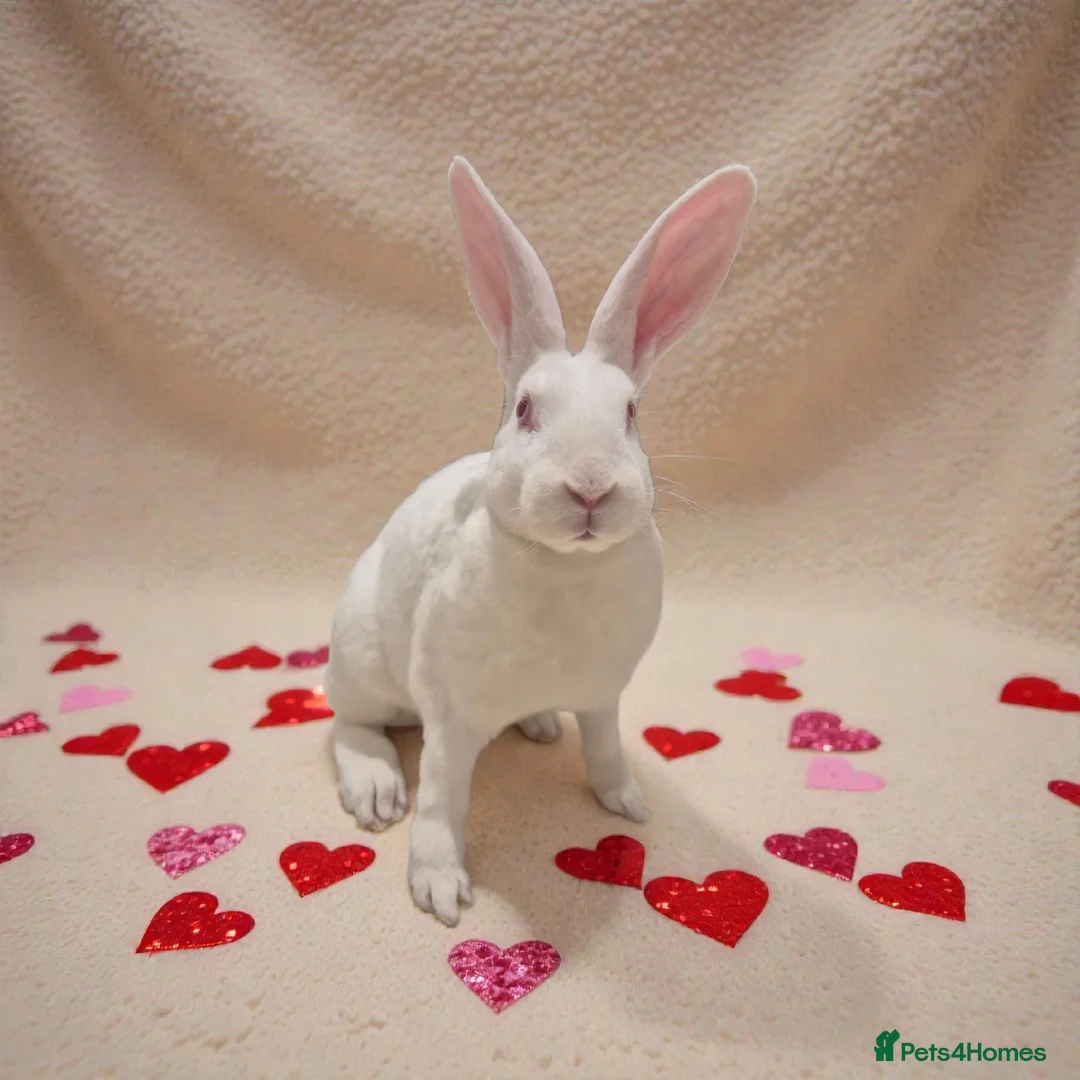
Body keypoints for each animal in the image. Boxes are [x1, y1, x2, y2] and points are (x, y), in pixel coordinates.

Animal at [325, 156, 757, 926]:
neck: (567, 568)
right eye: (525, 409)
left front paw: (627, 804)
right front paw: (439, 888)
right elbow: (442, 798)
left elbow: (606, 749)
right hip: (364, 662)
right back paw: (376, 789)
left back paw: (542, 725)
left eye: (631, 414)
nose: (590, 487)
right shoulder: (450, 714)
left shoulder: (604, 695)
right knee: (350, 724)